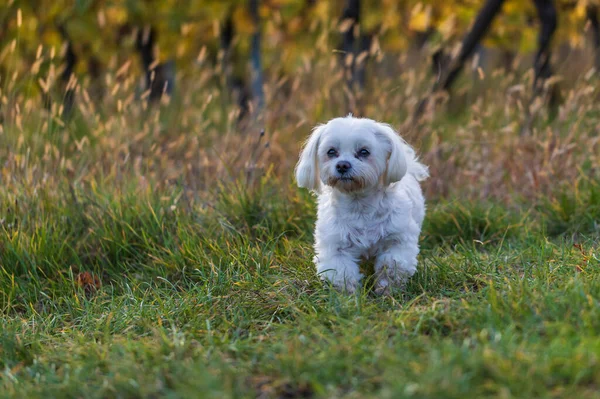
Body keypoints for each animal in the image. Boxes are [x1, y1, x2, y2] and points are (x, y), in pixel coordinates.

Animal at [294, 115, 426, 294]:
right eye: (331, 152)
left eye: (364, 151)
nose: (342, 165)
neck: (359, 205)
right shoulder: (335, 246)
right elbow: (342, 273)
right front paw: (348, 295)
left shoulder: (398, 240)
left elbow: (391, 266)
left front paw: (387, 291)